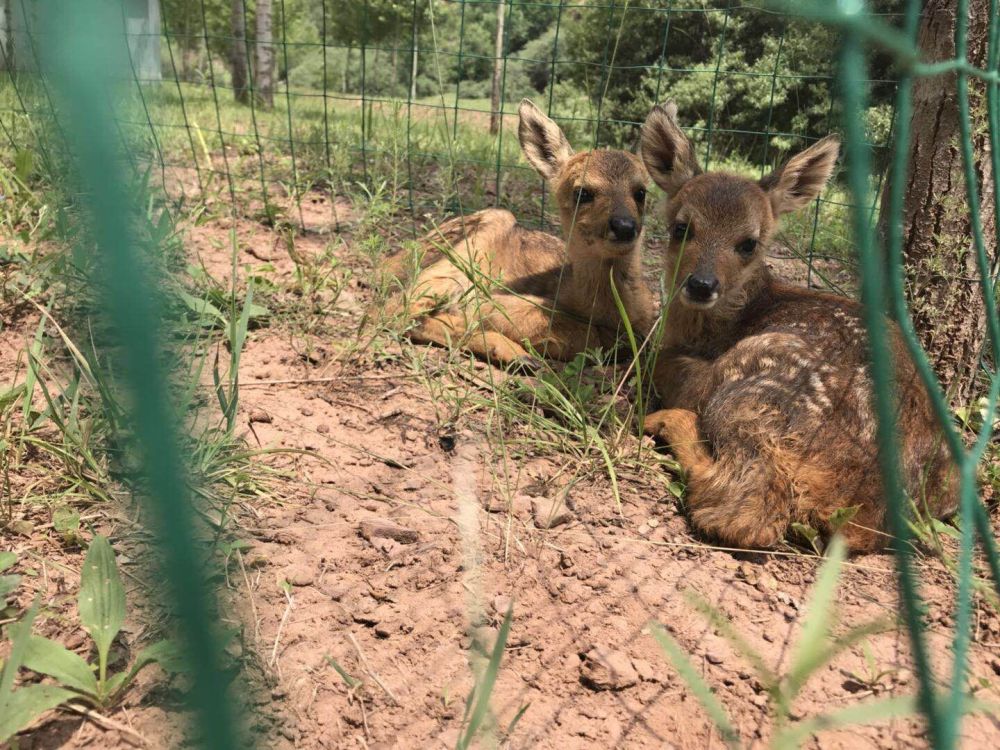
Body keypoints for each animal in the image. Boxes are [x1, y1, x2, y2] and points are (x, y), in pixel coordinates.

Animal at [384, 100, 656, 370]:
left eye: (641, 192)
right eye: (582, 193)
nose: (624, 226)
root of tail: (385, 264)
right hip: (465, 250)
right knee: (394, 309)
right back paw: (515, 353)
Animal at [636, 101, 956, 552]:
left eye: (749, 243)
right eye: (682, 228)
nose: (701, 284)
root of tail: (863, 516)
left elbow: (661, 361)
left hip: (755, 387)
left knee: (748, 513)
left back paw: (664, 422)